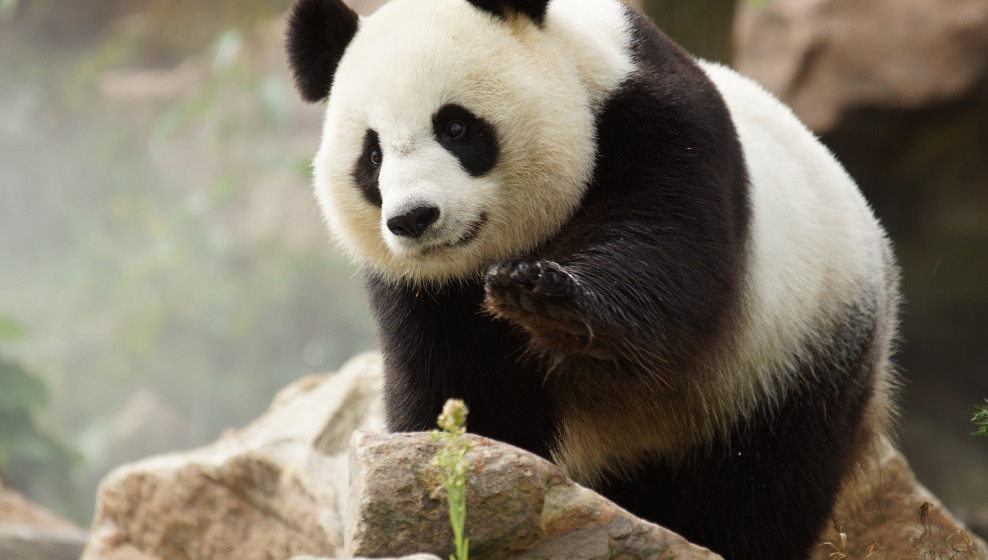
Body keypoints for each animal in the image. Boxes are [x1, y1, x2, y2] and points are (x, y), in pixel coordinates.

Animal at [285, 0, 899, 558]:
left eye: (455, 126)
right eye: (372, 156)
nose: (414, 218)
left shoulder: (662, 125)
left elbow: (663, 249)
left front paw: (546, 300)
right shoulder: (425, 295)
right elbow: (465, 395)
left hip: (793, 351)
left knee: (765, 485)